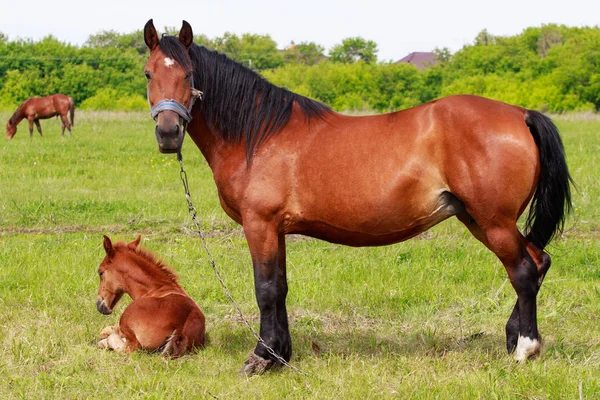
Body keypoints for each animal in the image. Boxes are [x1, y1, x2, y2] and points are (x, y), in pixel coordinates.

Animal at [141, 19, 572, 376]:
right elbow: (279, 287)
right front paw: (280, 355)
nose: (168, 133)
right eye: (148, 73)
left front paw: (260, 358)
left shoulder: (259, 224)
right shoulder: (276, 229)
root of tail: (520, 114)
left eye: (188, 73)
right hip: (478, 219)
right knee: (539, 261)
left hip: (493, 221)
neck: (258, 135)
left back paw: (525, 349)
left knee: (523, 271)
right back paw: (513, 338)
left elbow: (264, 290)